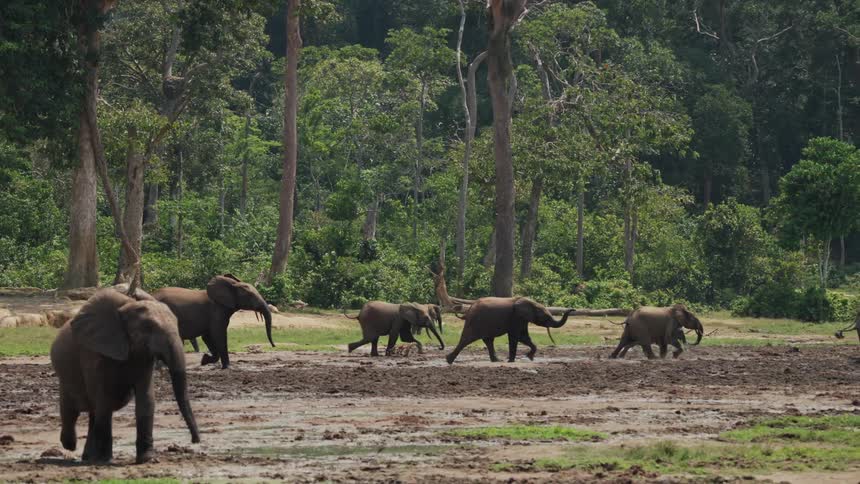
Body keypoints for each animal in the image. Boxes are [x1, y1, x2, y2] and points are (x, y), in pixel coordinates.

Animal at [50, 289, 200, 464]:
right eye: (148, 327)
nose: (195, 440)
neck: (126, 308)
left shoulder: (144, 356)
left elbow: (146, 399)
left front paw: (147, 459)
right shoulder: (93, 353)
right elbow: (104, 399)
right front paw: (105, 460)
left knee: (93, 413)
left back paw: (88, 457)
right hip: (65, 376)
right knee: (72, 410)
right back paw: (71, 446)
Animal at [445, 297, 575, 364]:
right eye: (545, 317)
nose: (573, 309)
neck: (531, 303)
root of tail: (469, 309)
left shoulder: (522, 319)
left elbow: (524, 337)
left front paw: (530, 357)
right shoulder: (516, 317)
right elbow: (515, 336)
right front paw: (511, 361)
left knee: (488, 340)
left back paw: (496, 360)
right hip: (476, 321)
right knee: (467, 339)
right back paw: (448, 360)